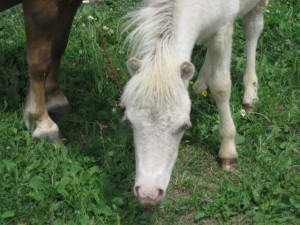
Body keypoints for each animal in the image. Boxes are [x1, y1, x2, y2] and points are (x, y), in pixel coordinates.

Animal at [0, 0, 82, 141]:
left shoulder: (69, 4)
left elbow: (57, 48)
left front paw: (55, 98)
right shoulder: (41, 6)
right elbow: (39, 63)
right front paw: (44, 125)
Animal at [121, 0, 268, 206]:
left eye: (184, 126)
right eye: (128, 121)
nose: (148, 194)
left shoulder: (224, 29)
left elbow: (221, 86)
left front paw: (228, 150)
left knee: (253, 27)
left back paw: (250, 94)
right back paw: (200, 83)